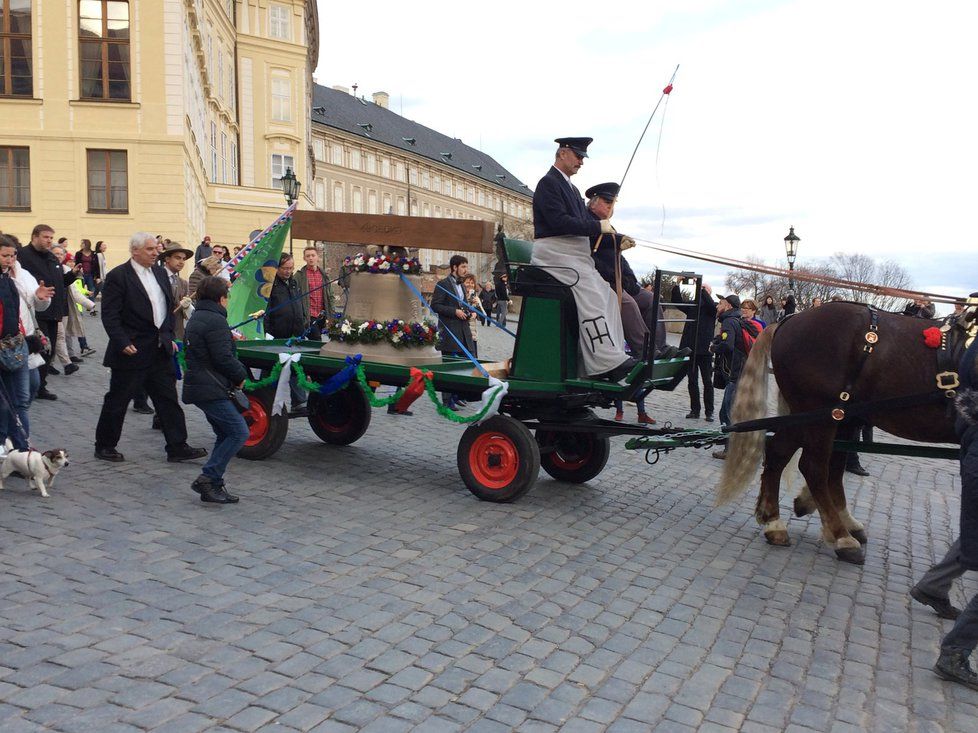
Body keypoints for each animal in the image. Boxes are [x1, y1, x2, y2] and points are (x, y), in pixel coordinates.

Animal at [712, 300, 956, 564]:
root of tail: (790, 319)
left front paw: (805, 503)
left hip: (821, 414)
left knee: (788, 456)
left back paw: (777, 521)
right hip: (822, 413)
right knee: (814, 467)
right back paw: (841, 536)